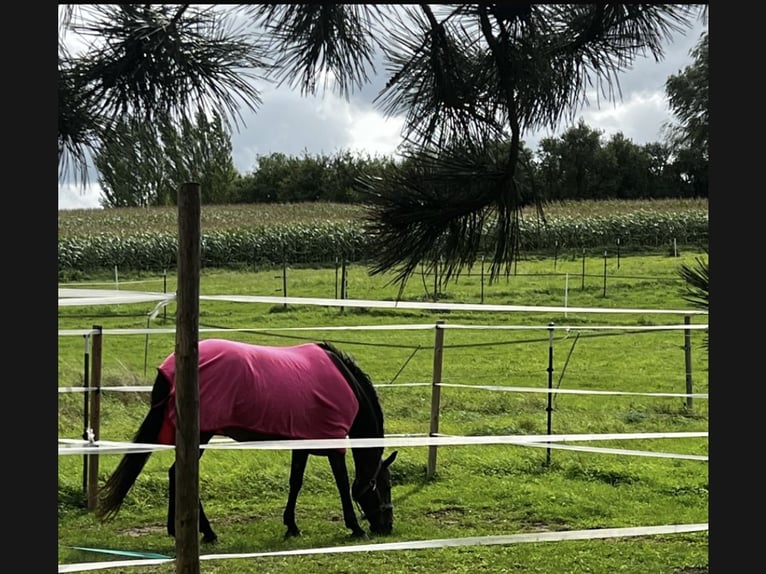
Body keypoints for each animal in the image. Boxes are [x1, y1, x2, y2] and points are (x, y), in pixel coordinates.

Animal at [95, 338, 398, 543]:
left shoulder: (302, 442)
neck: (346, 383)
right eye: (385, 486)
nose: (387, 527)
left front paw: (291, 526)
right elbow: (343, 485)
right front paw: (355, 528)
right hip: (202, 434)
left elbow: (296, 482)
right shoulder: (332, 443)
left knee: (177, 474)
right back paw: (208, 533)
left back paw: (178, 528)